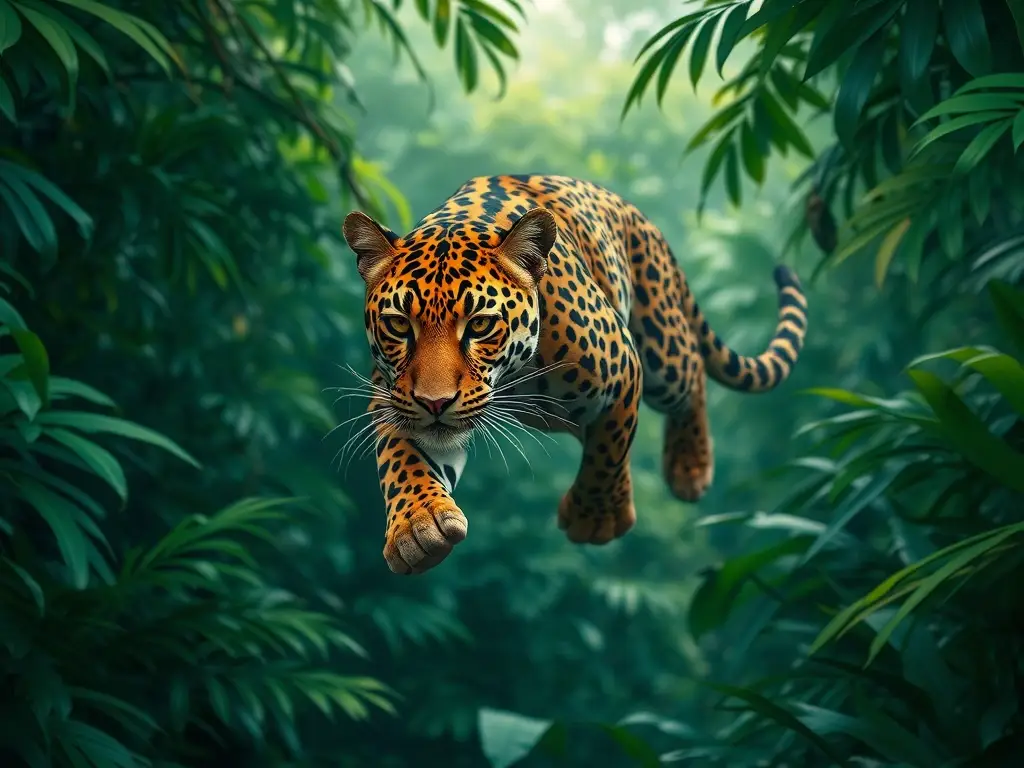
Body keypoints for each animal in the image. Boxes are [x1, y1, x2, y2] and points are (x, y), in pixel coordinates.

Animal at [341, 174, 808, 575]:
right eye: (399, 325)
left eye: (480, 325)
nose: (434, 402)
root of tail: (639, 217)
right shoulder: (394, 396)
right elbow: (401, 456)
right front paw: (417, 526)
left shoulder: (624, 364)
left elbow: (609, 448)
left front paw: (595, 517)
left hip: (663, 351)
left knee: (691, 370)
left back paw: (689, 467)